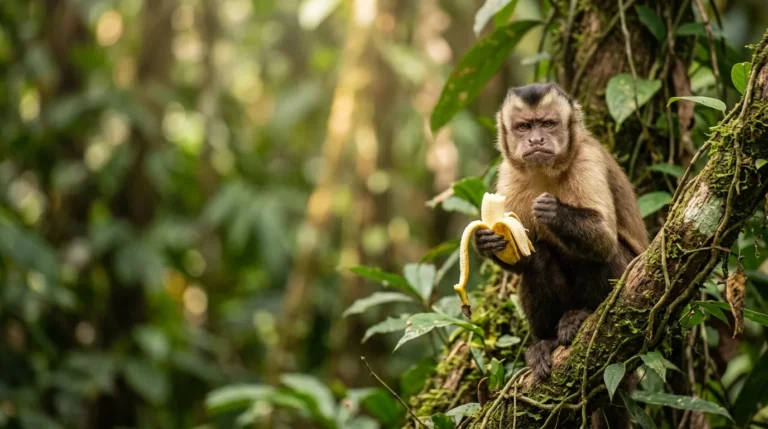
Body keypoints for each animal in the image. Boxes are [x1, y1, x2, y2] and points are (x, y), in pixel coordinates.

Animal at [473, 83, 649, 428]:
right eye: (524, 127)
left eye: (548, 124)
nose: (536, 140)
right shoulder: (508, 175)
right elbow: (522, 256)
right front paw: (485, 241)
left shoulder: (588, 160)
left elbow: (603, 238)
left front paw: (553, 212)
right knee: (540, 258)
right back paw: (545, 343)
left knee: (601, 254)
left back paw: (581, 316)